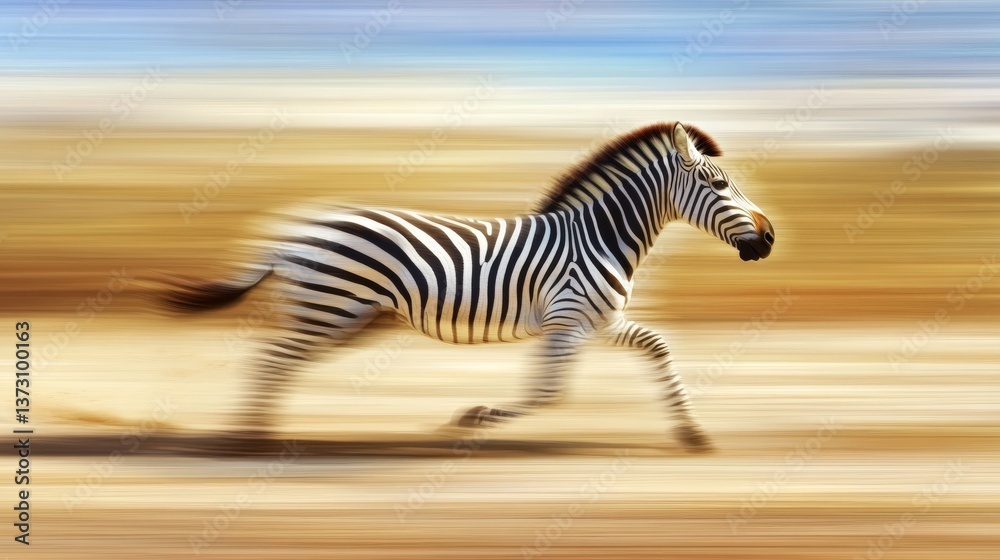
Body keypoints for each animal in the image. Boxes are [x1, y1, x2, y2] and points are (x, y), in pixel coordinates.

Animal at [164, 122, 774, 452]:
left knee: (280, 361)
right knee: (271, 359)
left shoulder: (597, 322)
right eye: (719, 184)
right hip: (331, 308)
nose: (768, 239)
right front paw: (472, 419)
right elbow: (549, 393)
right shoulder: (568, 320)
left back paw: (257, 433)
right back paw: (249, 440)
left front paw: (693, 434)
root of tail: (291, 230)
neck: (597, 237)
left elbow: (657, 347)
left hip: (350, 316)